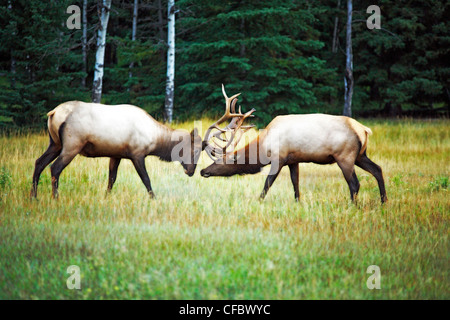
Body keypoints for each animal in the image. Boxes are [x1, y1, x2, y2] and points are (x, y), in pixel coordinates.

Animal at [30, 101, 202, 199]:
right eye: (195, 151)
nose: (191, 171)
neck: (155, 140)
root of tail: (53, 113)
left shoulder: (116, 155)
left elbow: (111, 179)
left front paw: (106, 197)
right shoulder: (137, 154)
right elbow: (146, 179)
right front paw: (154, 198)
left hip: (55, 143)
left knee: (39, 162)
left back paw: (34, 197)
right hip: (72, 145)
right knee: (55, 167)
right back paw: (55, 198)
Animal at [200, 87, 386, 202]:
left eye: (220, 161)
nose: (203, 171)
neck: (264, 147)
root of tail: (364, 130)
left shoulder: (279, 158)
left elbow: (267, 184)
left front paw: (258, 201)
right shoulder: (293, 160)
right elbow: (295, 184)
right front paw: (298, 202)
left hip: (345, 156)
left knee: (354, 183)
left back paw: (354, 206)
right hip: (360, 155)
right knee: (377, 169)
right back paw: (384, 202)